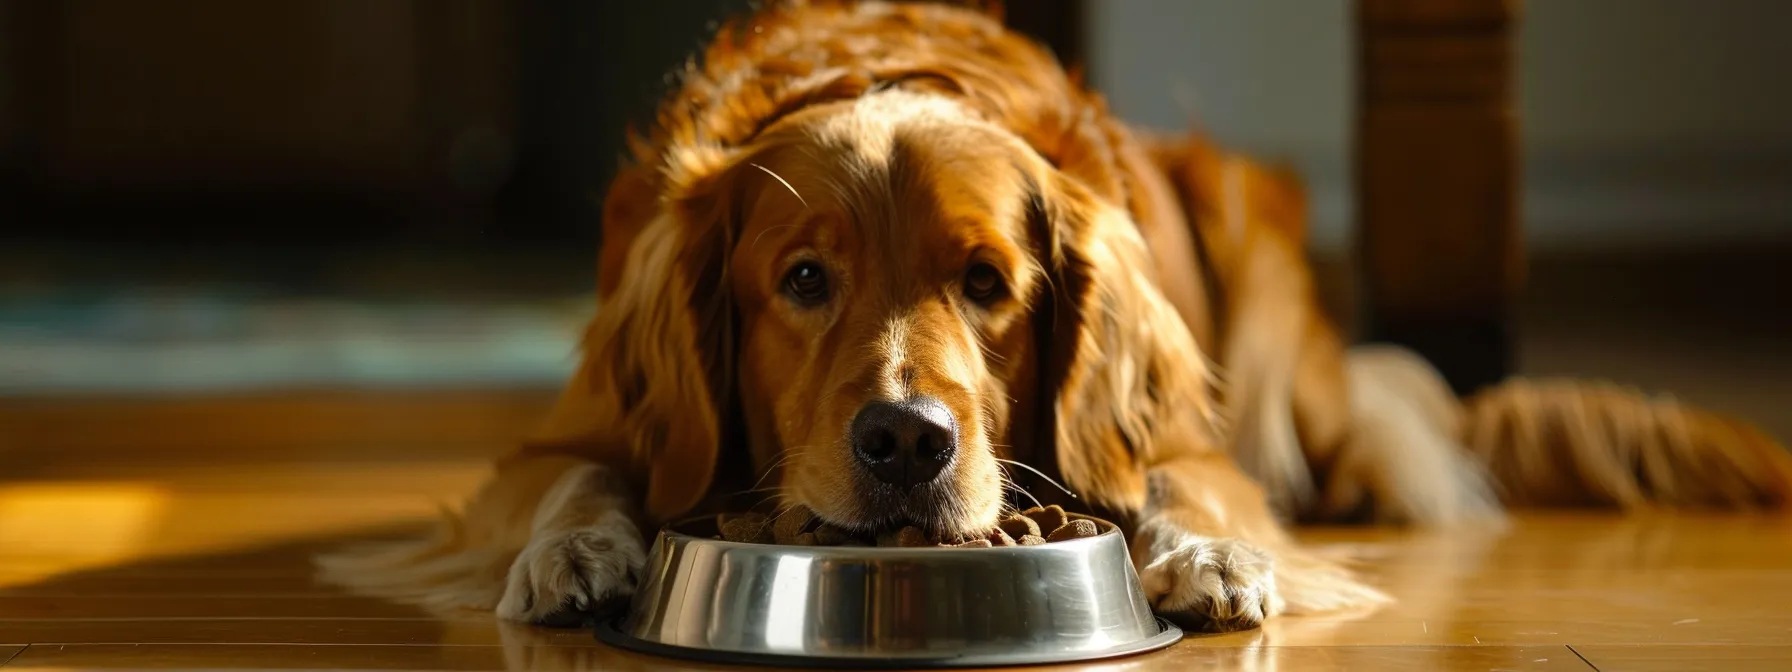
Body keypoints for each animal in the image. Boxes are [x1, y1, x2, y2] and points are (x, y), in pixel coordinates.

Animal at [322, 0, 1792, 634]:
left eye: (989, 285)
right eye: (801, 281)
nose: (906, 443)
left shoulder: (1185, 440)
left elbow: (1185, 489)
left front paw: (1206, 557)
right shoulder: (573, 433)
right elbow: (575, 483)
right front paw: (578, 553)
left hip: (1259, 268)